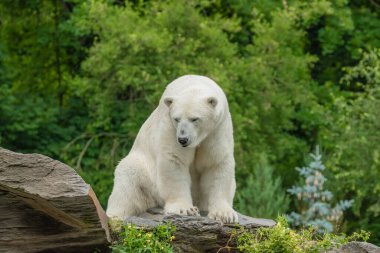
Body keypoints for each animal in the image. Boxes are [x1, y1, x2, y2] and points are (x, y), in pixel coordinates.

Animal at [107, 74, 238, 223]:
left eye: (194, 119)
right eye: (177, 119)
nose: (183, 139)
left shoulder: (218, 129)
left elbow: (216, 162)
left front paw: (224, 214)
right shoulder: (169, 126)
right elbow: (174, 159)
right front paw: (186, 209)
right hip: (144, 173)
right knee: (128, 180)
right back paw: (115, 216)